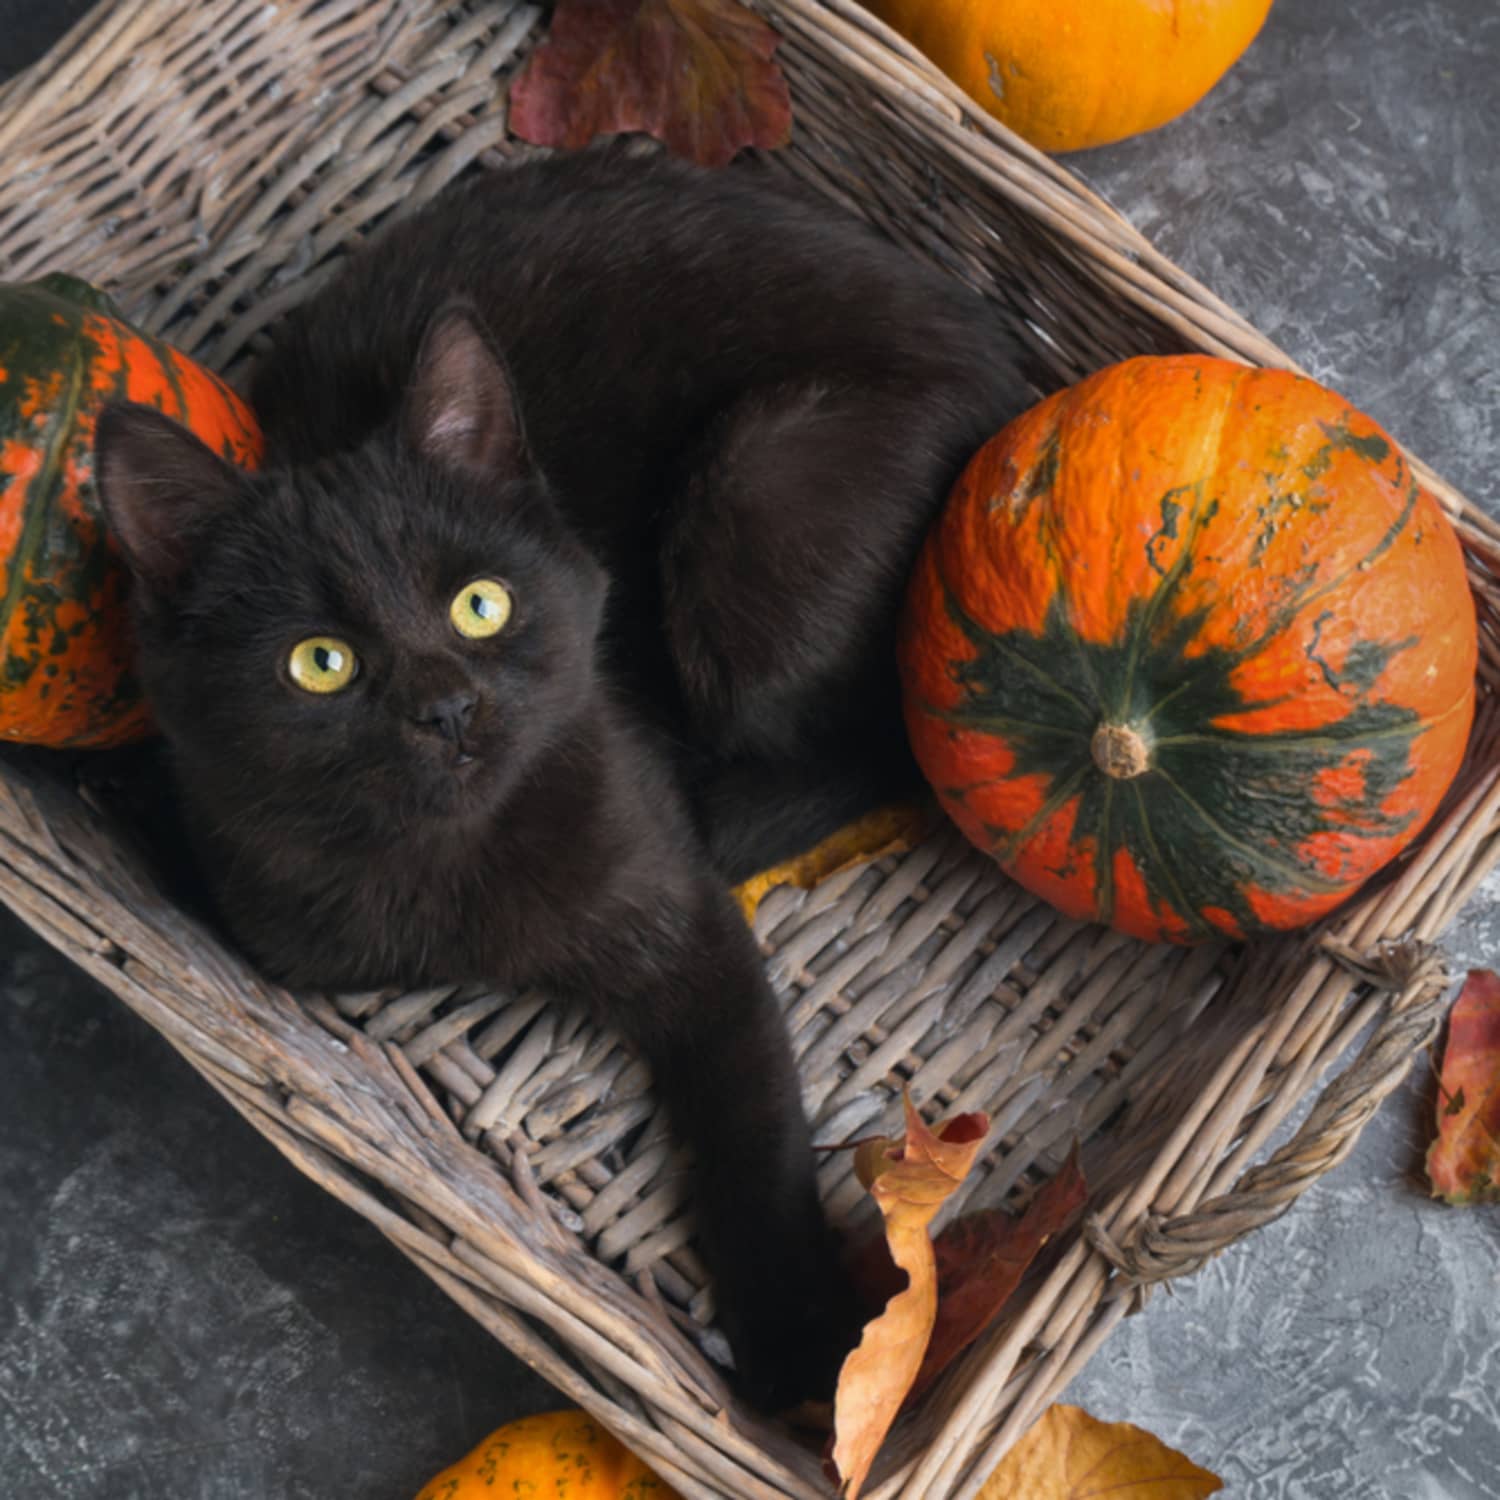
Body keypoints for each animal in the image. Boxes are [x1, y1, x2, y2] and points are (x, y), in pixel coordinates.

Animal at [93, 149, 1032, 1404]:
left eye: (480, 605)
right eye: (319, 663)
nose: (447, 709)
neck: (454, 875)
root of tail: (1014, 386)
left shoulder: (688, 922)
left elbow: (751, 1122)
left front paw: (800, 1348)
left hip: (759, 480)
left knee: (886, 742)